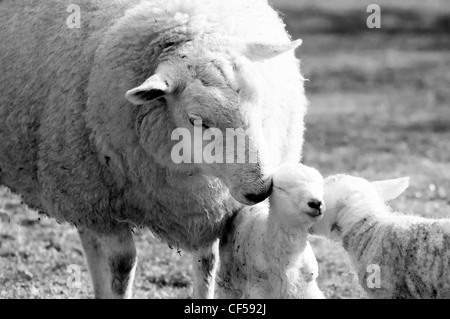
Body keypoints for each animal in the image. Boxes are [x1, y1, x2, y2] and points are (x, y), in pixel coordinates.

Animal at [0, 0, 310, 300]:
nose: (260, 190)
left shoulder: (206, 211)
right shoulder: (101, 205)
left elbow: (207, 265)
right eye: (196, 120)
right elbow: (122, 265)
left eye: (260, 101)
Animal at [216, 164, 326, 302]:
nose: (316, 203)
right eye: (282, 189)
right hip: (229, 275)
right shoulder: (258, 287)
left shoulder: (307, 287)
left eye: (320, 186)